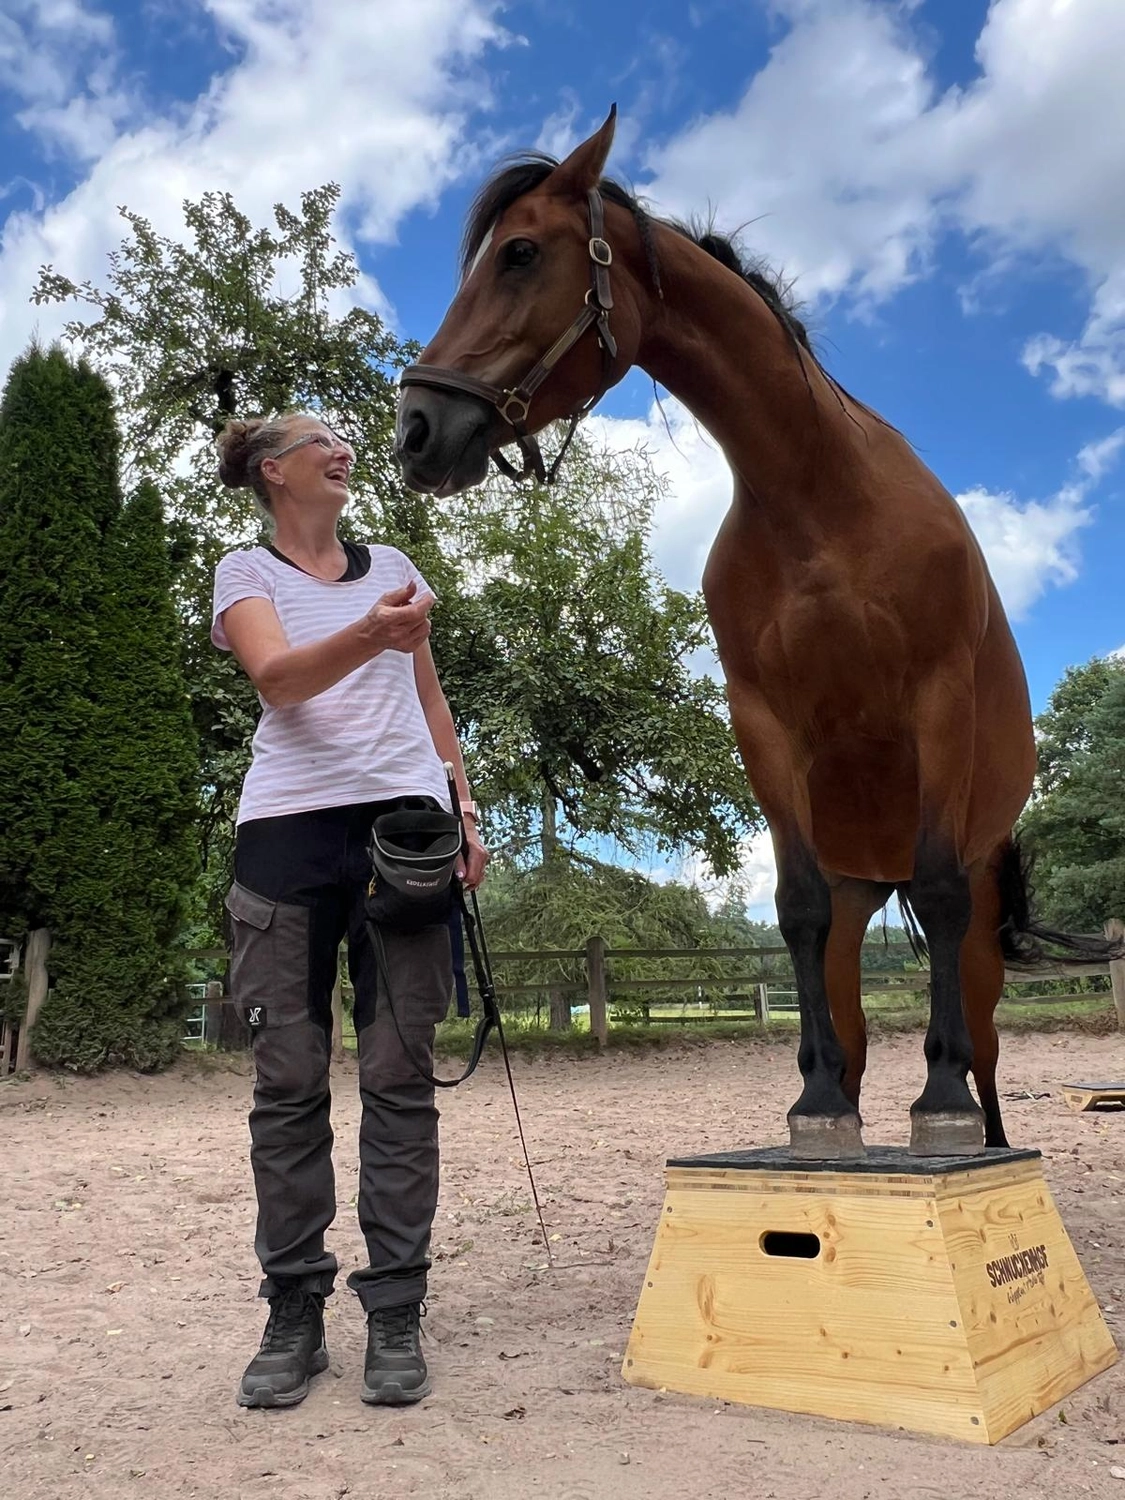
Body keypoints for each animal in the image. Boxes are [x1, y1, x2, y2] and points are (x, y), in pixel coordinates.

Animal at [395, 107, 1106, 1160]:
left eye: (520, 253)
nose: (416, 428)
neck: (820, 502)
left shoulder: (934, 706)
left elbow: (936, 903)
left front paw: (932, 1101)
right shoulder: (765, 728)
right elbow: (793, 911)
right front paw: (815, 1107)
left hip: (976, 907)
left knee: (978, 1034)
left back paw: (964, 1115)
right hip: (859, 894)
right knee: (852, 1003)